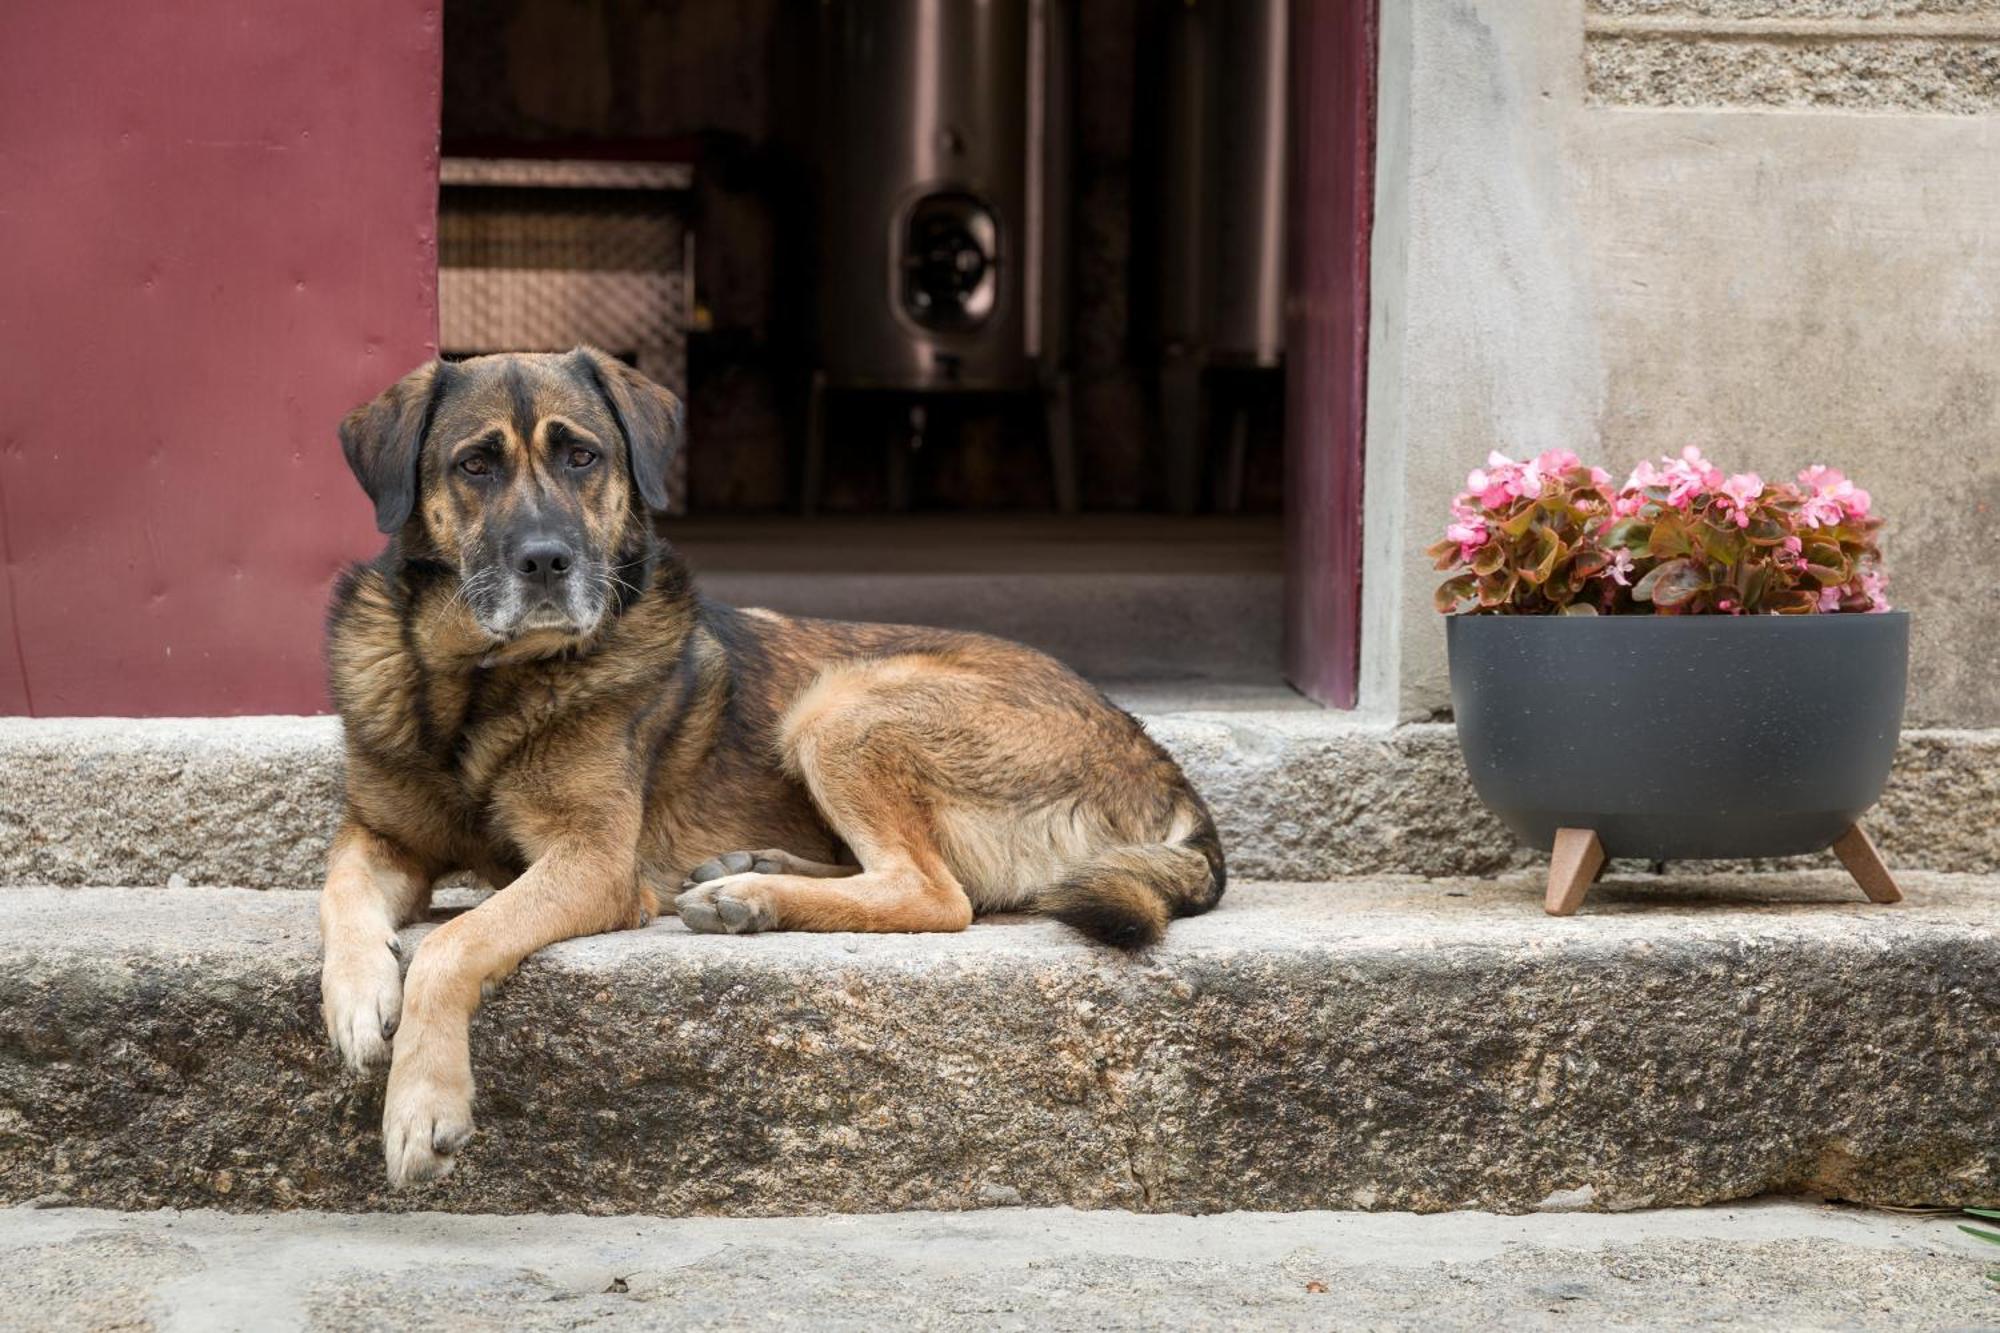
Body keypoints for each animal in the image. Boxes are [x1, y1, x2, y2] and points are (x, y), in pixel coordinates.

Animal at [320, 348, 1224, 1176]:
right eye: (475, 464)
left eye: (582, 456)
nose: (546, 561)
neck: (479, 684)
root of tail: (1163, 766)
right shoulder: (382, 835)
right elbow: (341, 888)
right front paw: (359, 993)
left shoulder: (593, 863)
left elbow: (456, 939)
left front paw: (422, 1100)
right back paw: (749, 875)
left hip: (841, 705)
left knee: (933, 892)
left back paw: (751, 895)